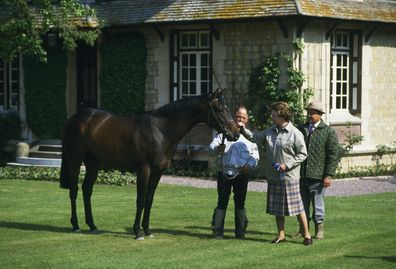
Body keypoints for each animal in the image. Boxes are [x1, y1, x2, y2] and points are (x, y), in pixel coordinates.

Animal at [58, 88, 238, 239]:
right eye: (219, 108)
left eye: (228, 107)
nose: (235, 133)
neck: (160, 130)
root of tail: (72, 119)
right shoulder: (144, 170)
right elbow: (140, 200)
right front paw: (137, 232)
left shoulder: (157, 172)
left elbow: (149, 199)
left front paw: (147, 230)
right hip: (75, 160)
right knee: (74, 190)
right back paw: (76, 225)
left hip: (93, 163)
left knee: (87, 190)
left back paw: (92, 226)